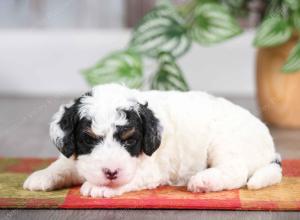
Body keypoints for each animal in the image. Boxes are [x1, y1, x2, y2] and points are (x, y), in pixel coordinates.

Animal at [22, 83, 282, 197]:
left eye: (129, 140)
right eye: (89, 139)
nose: (111, 172)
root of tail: (271, 148)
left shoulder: (151, 168)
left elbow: (132, 176)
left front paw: (100, 187)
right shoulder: (78, 156)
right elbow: (65, 163)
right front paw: (43, 175)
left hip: (226, 142)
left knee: (236, 171)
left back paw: (204, 181)